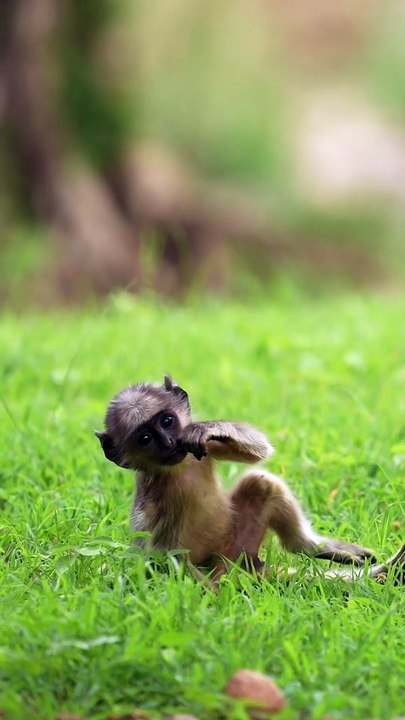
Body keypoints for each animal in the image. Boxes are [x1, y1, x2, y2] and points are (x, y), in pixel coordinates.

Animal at [96, 375, 405, 585]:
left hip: (239, 543)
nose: (169, 443)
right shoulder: (154, 496)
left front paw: (205, 428)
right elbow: (163, 555)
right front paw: (211, 599)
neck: (178, 470)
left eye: (168, 421)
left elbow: (258, 451)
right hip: (225, 563)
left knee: (261, 482)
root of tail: (247, 565)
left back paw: (310, 547)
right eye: (145, 438)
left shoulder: (198, 451)